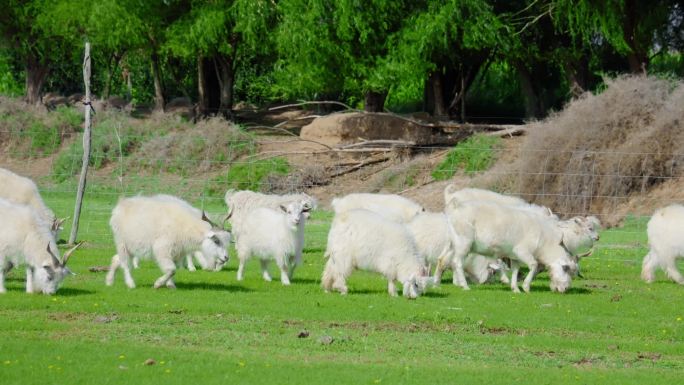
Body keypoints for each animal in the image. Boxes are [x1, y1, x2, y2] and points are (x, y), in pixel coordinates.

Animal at [440, 200, 580, 292]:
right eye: (565, 268)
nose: (565, 288)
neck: (545, 242)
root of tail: (455, 209)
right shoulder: (522, 251)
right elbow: (533, 265)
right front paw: (526, 287)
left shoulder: (514, 256)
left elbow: (515, 270)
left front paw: (515, 289)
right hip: (464, 243)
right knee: (457, 262)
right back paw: (464, 286)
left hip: (452, 244)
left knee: (443, 260)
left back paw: (438, 283)